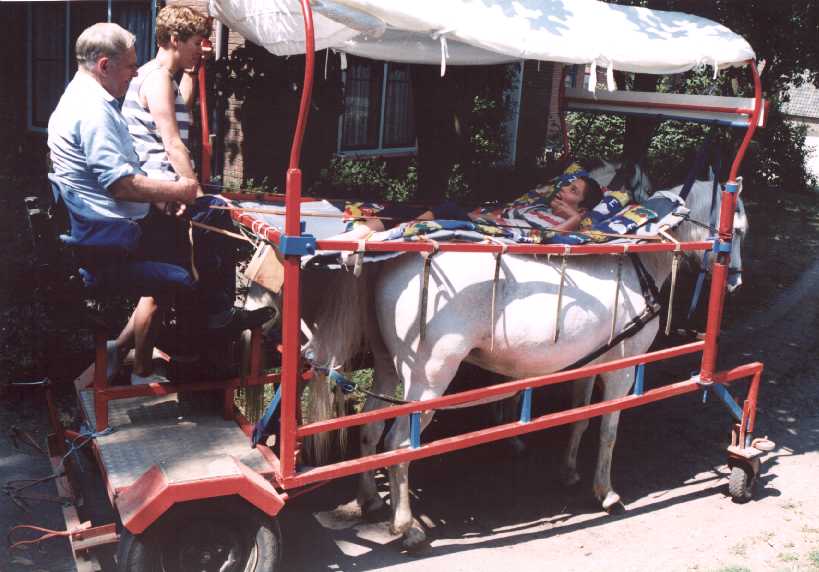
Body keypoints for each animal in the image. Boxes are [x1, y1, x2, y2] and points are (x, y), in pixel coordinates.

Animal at [245, 163, 748, 548]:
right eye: (739, 229)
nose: (737, 279)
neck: (642, 257)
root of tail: (389, 258)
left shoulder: (592, 363)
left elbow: (581, 418)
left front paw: (569, 472)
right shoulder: (623, 368)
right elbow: (608, 429)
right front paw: (605, 493)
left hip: (390, 369)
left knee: (369, 432)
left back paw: (370, 501)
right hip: (429, 379)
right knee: (399, 445)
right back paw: (407, 528)